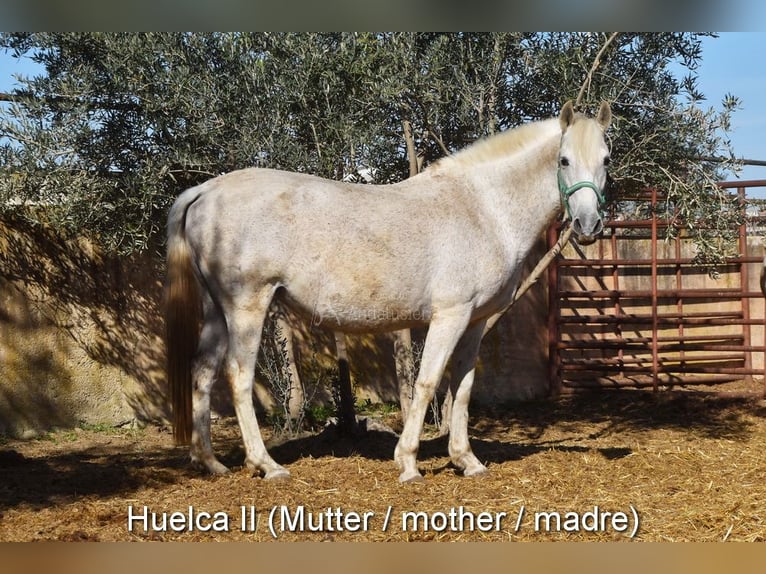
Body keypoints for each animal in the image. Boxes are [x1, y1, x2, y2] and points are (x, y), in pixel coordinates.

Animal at [165, 100, 612, 483]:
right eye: (564, 160)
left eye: (606, 159)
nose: (588, 225)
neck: (484, 209)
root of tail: (205, 191)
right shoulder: (449, 315)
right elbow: (428, 382)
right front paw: (409, 463)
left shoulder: (475, 321)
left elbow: (463, 387)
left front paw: (467, 461)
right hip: (246, 307)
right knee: (238, 376)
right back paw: (266, 465)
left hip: (217, 310)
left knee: (202, 371)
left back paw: (210, 462)